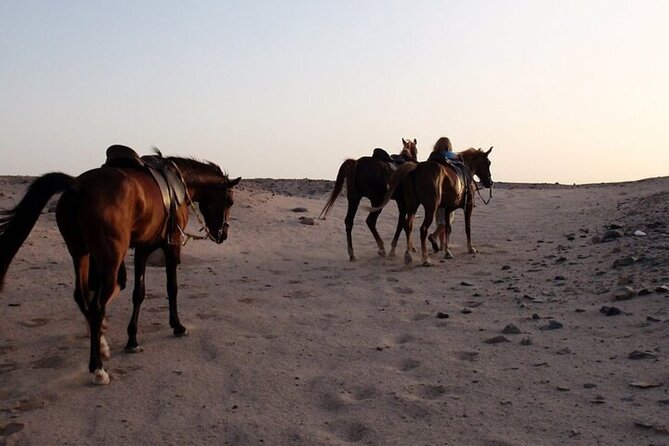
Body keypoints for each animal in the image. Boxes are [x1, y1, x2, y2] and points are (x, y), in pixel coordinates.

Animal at [0, 147, 240, 385]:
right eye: (229, 201)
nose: (223, 234)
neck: (178, 185)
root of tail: (77, 185)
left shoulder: (143, 249)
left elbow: (138, 293)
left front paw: (132, 339)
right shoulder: (171, 246)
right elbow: (172, 288)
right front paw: (177, 326)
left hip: (80, 253)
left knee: (83, 295)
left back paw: (101, 343)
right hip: (111, 258)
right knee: (97, 305)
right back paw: (98, 368)